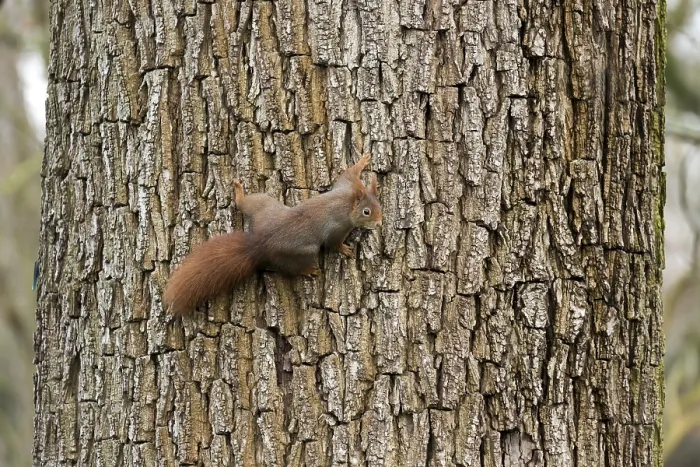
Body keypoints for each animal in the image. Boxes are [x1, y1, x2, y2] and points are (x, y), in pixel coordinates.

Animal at [163, 153, 382, 316]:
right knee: (289, 268)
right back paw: (307, 270)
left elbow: (348, 174)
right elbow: (333, 244)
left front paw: (362, 161)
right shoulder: (338, 227)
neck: (348, 203)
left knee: (243, 204)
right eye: (366, 212)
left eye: (379, 205)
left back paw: (238, 191)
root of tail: (260, 243)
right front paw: (345, 249)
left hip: (264, 205)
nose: (379, 223)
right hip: (301, 252)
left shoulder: (346, 186)